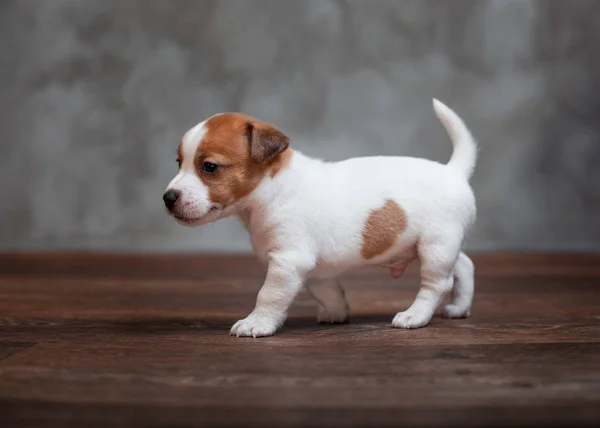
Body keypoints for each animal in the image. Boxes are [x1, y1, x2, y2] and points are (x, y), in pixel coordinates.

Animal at [164, 100, 478, 338]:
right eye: (179, 163)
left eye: (209, 167)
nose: (168, 197)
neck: (273, 190)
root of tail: (453, 171)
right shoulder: (312, 267)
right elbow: (326, 291)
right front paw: (336, 312)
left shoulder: (288, 260)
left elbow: (270, 294)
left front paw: (257, 323)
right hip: (440, 246)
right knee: (464, 265)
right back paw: (459, 308)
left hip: (435, 246)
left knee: (438, 283)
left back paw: (415, 315)